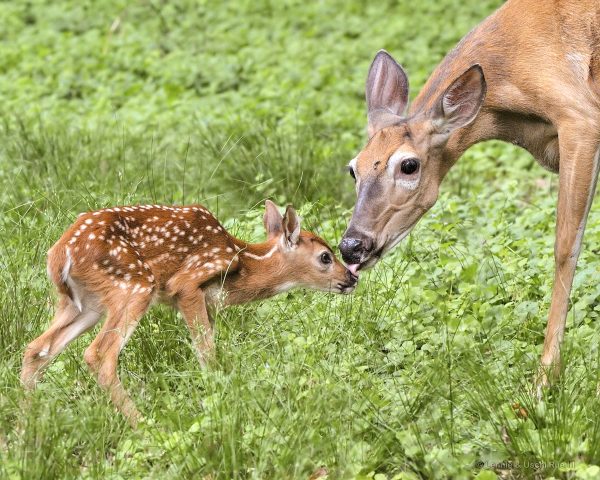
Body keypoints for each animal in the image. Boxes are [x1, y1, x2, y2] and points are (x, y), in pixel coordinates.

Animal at [340, 0, 600, 392]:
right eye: (353, 168)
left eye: (409, 165)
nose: (351, 245)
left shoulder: (581, 117)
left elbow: (565, 247)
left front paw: (544, 381)